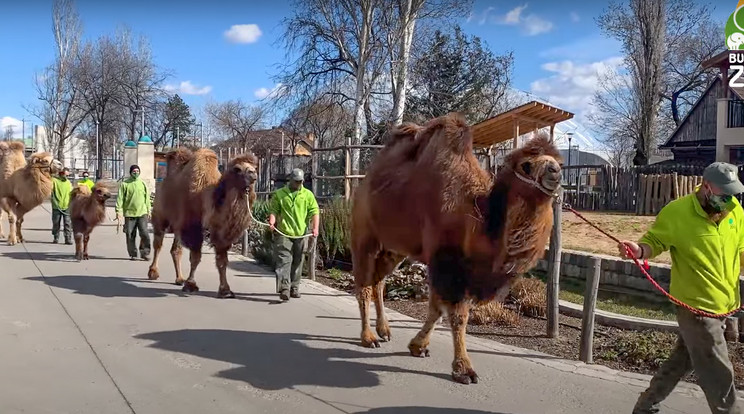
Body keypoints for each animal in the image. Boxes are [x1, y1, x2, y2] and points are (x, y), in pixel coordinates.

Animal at [146, 148, 258, 298]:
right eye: (237, 169)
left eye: (254, 167)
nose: (253, 173)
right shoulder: (193, 228)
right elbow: (195, 257)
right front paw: (191, 285)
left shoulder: (220, 233)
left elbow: (222, 261)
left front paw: (226, 290)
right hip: (160, 216)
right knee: (158, 244)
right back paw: (153, 273)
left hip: (177, 226)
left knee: (176, 250)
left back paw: (179, 278)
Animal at [352, 113, 560, 384]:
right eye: (526, 165)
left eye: (558, 161)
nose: (555, 171)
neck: (477, 218)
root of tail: (363, 183)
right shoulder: (446, 261)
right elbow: (457, 315)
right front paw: (464, 369)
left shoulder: (453, 265)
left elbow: (436, 309)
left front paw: (418, 346)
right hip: (364, 235)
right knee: (364, 285)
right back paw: (369, 338)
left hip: (395, 249)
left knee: (378, 281)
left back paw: (384, 330)